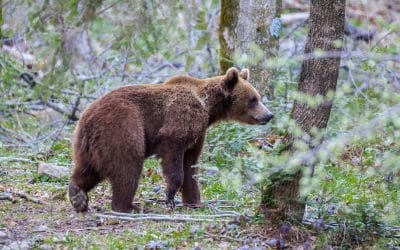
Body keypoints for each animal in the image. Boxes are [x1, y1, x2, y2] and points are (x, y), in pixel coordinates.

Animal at [69, 67, 276, 212]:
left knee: (88, 168)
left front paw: (194, 201)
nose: (269, 115)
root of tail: (87, 118)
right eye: (253, 99)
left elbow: (191, 163)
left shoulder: (199, 133)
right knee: (127, 165)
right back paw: (128, 206)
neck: (208, 108)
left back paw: (77, 195)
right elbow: (174, 154)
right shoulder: (182, 118)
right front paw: (169, 197)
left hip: (90, 143)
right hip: (123, 128)